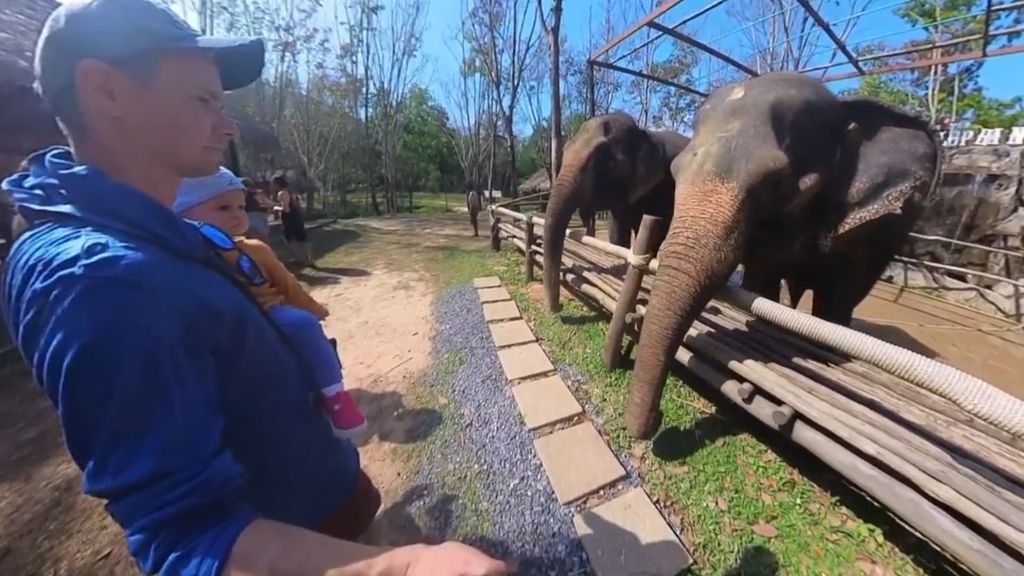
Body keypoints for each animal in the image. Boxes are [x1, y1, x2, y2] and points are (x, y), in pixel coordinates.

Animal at [540, 112, 692, 309]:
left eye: (607, 163)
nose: (557, 307)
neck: (646, 134)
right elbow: (617, 233)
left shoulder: (664, 188)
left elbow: (655, 232)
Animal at [618, 72, 937, 438]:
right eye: (674, 171)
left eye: (776, 182)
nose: (654, 422)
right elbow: (762, 285)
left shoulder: (861, 231)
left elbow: (834, 299)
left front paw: (825, 354)